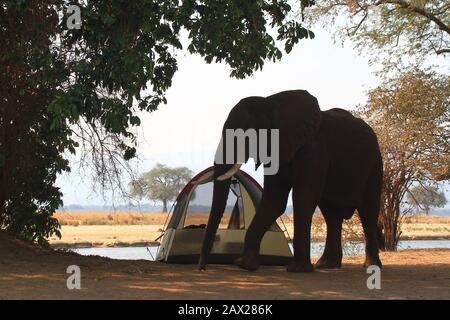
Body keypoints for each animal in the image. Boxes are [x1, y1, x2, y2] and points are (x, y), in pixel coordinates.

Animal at [198, 90, 384, 272]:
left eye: (246, 135)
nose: (202, 268)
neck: (271, 102)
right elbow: (274, 200)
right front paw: (245, 264)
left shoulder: (314, 150)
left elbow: (303, 198)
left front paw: (297, 269)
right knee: (331, 214)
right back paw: (327, 265)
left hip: (375, 164)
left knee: (368, 211)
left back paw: (371, 266)